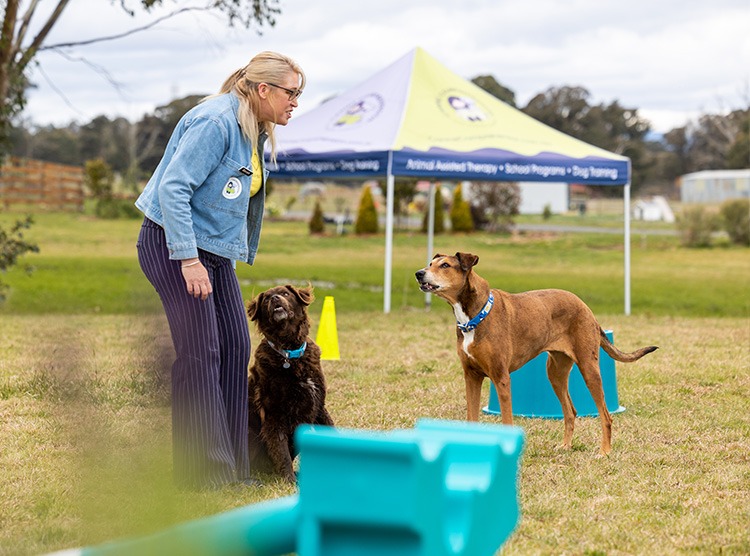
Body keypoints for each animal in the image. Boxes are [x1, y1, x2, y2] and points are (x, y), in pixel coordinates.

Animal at [248, 284, 334, 480]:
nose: (275, 299)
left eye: (285, 293)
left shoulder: (318, 405)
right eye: (266, 299)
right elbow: (281, 451)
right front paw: (289, 480)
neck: (290, 354)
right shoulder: (274, 414)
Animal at [418, 254, 656, 454]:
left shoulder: (501, 378)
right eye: (430, 263)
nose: (419, 273)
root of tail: (586, 307)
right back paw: (565, 446)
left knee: (606, 416)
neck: (474, 316)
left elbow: (507, 420)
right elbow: (471, 417)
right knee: (570, 411)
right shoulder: (471, 376)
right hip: (555, 373)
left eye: (445, 265)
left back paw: (604, 451)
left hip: (589, 369)